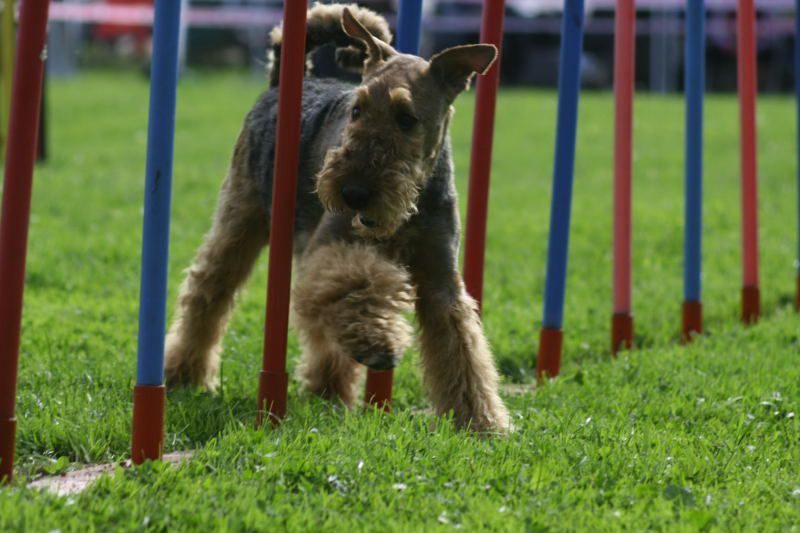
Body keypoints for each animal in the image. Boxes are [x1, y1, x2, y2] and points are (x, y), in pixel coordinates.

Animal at [163, 1, 510, 432]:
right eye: (357, 110)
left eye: (406, 118)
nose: (352, 193)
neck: (409, 204)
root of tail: (281, 82)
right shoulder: (333, 248)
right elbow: (358, 287)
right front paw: (379, 342)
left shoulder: (441, 280)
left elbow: (462, 350)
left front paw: (482, 422)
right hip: (241, 220)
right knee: (208, 292)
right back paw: (185, 375)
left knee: (318, 329)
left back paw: (327, 391)